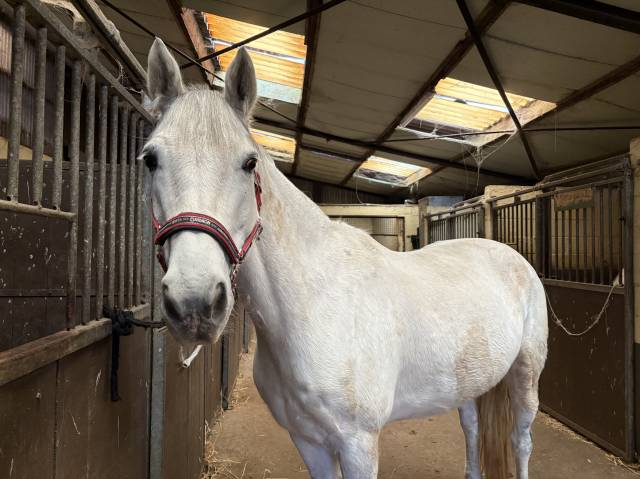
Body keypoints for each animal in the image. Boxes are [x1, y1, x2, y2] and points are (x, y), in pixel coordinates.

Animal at [142, 38, 548, 479]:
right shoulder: (308, 440)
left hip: (525, 375)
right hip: (472, 382)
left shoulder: (358, 443)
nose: (194, 304)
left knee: (522, 440)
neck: (312, 305)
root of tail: (510, 256)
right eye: (150, 159)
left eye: (249, 162)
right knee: (472, 429)